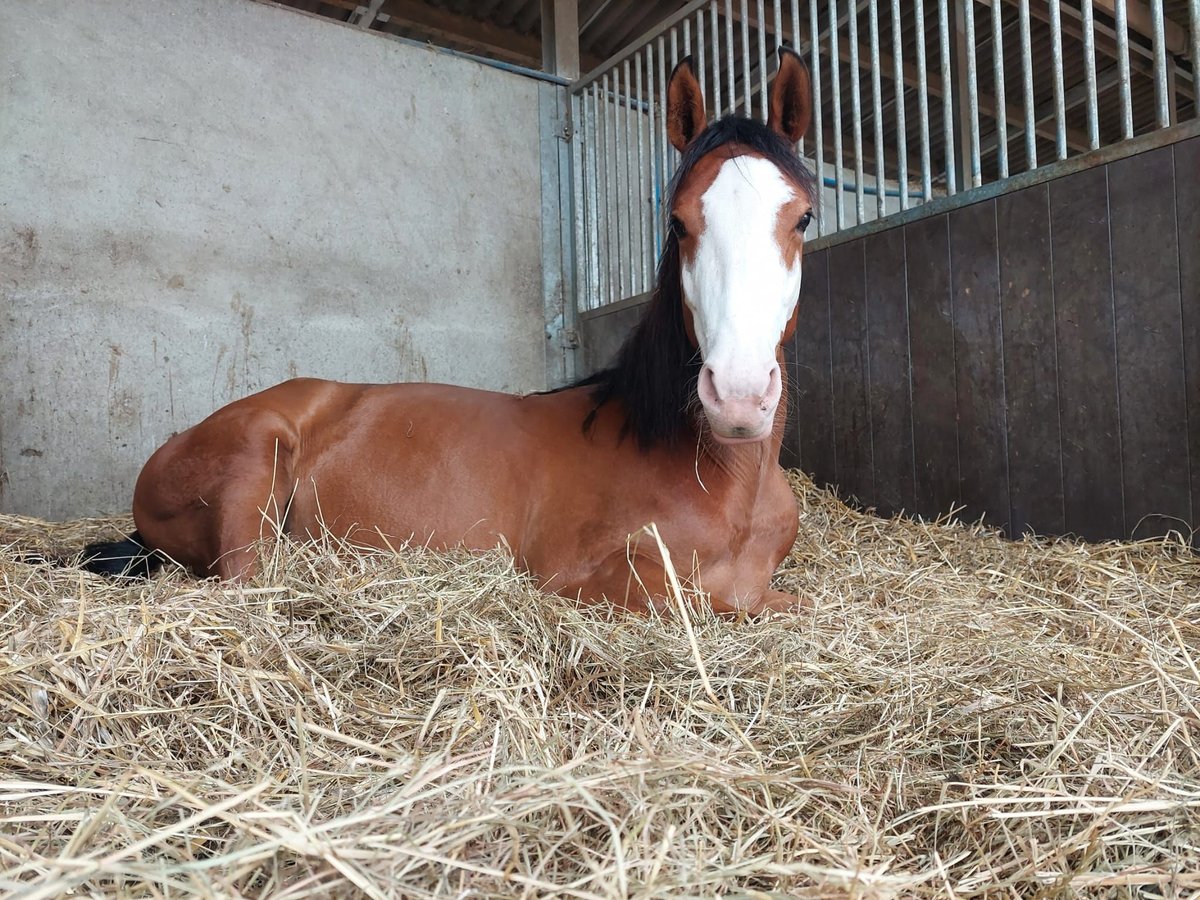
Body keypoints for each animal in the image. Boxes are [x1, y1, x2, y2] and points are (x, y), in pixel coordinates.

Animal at [82, 47, 816, 614]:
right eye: (677, 221)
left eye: (804, 217)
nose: (740, 395)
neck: (725, 481)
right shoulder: (580, 576)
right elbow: (718, 599)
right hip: (254, 459)